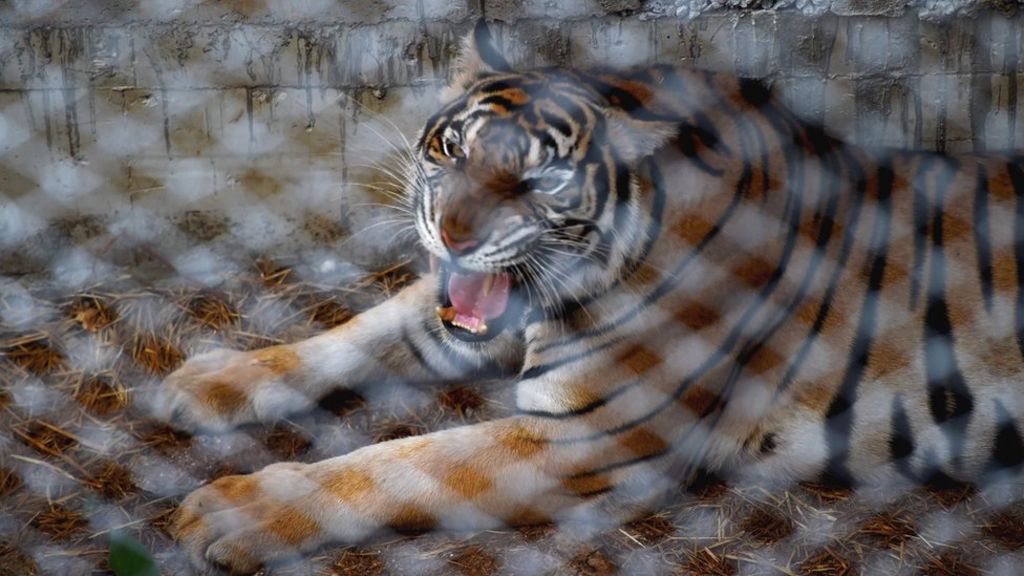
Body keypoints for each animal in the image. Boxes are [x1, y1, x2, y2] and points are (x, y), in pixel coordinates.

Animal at [162, 19, 1024, 573]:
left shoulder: (590, 433)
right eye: (451, 149)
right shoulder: (454, 321)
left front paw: (237, 510)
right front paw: (210, 380)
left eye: (539, 182)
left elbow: (402, 463)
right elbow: (350, 335)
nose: (454, 236)